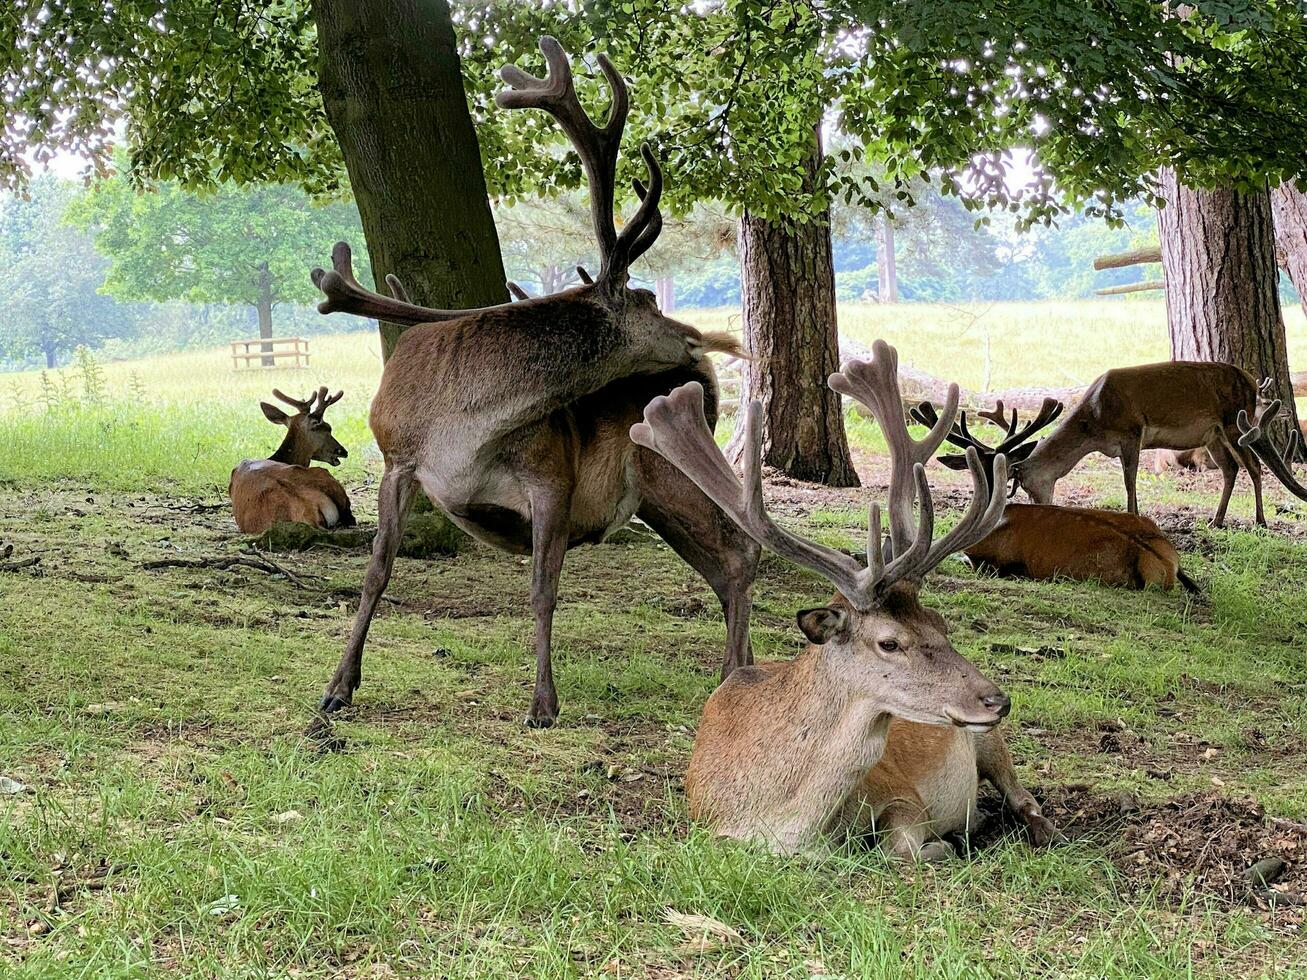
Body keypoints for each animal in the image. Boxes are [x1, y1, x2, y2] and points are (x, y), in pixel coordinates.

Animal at [307, 36, 758, 731]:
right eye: (651, 299)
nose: (699, 344)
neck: (464, 430)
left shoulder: (552, 474)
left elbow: (544, 588)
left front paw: (543, 703)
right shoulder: (397, 460)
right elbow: (376, 573)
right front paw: (337, 689)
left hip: (668, 472)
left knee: (741, 554)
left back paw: (735, 677)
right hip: (657, 498)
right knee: (727, 563)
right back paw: (749, 674)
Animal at [629, 342, 1050, 857]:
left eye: (941, 624)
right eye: (889, 642)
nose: (996, 701)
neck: (782, 824)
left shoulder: (902, 793)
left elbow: (902, 847)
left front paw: (947, 842)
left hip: (992, 744)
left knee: (1024, 794)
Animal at [1014, 363, 1307, 530]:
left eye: (1023, 481)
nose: (1038, 508)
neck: (1094, 424)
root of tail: (1251, 380)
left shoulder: (1133, 431)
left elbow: (1129, 480)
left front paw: (1133, 515)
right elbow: (1129, 478)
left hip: (1235, 423)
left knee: (1254, 466)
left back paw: (1260, 520)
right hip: (1213, 435)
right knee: (1231, 469)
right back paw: (1216, 520)